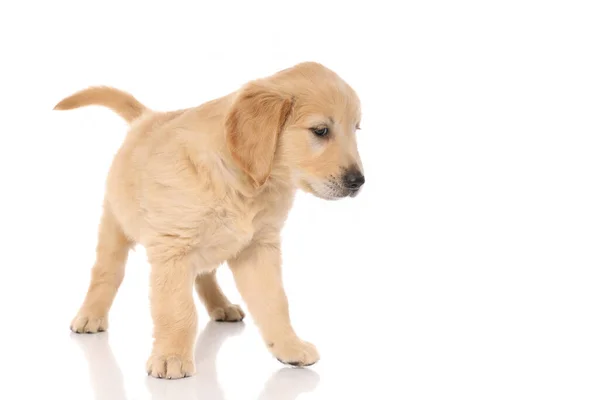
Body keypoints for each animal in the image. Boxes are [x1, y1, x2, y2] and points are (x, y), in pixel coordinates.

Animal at [55, 61, 366, 378]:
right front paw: (171, 357)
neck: (244, 184)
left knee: (205, 275)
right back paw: (90, 315)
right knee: (106, 272)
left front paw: (289, 347)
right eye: (320, 130)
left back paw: (222, 306)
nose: (358, 181)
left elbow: (274, 302)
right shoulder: (173, 248)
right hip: (115, 224)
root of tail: (147, 118)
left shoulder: (258, 247)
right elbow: (177, 309)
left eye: (356, 129)